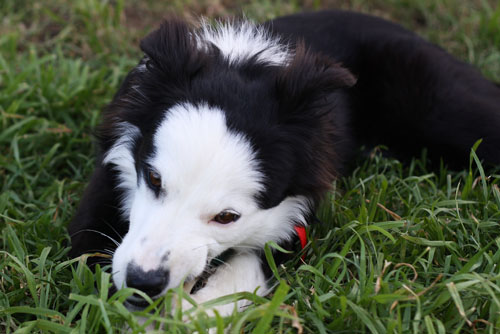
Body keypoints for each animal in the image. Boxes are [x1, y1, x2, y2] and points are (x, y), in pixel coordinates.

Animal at [67, 9, 500, 314]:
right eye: (154, 179)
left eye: (227, 217)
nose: (142, 282)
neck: (243, 67)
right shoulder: (106, 186)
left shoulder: (297, 219)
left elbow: (243, 271)